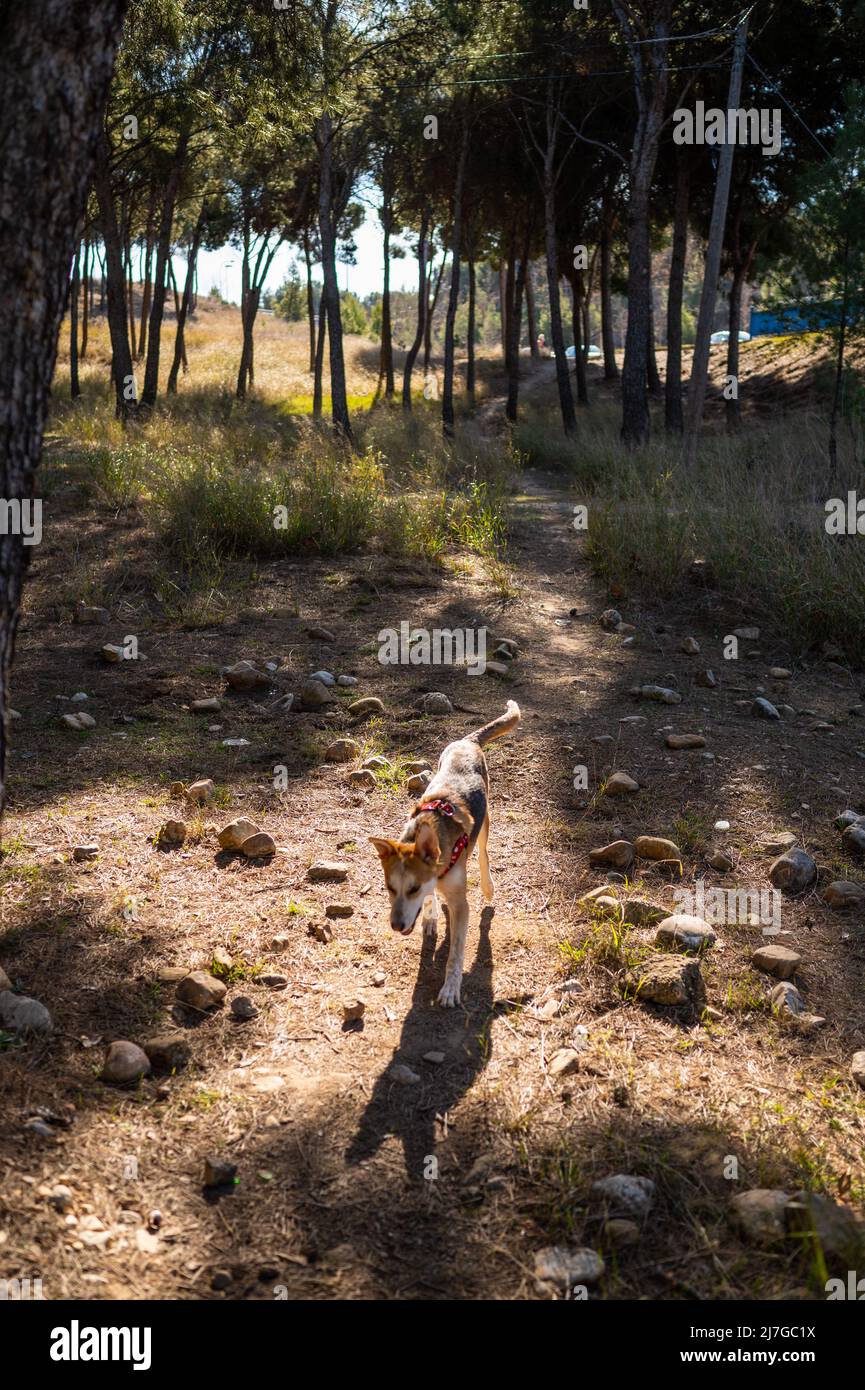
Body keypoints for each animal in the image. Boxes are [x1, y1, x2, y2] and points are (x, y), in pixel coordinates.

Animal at [367, 700, 522, 1006]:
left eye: (412, 888)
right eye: (390, 888)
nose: (396, 925)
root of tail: (467, 740)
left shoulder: (461, 905)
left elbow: (455, 953)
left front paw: (450, 989)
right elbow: (431, 900)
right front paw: (430, 917)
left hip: (485, 821)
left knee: (483, 854)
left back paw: (487, 886)